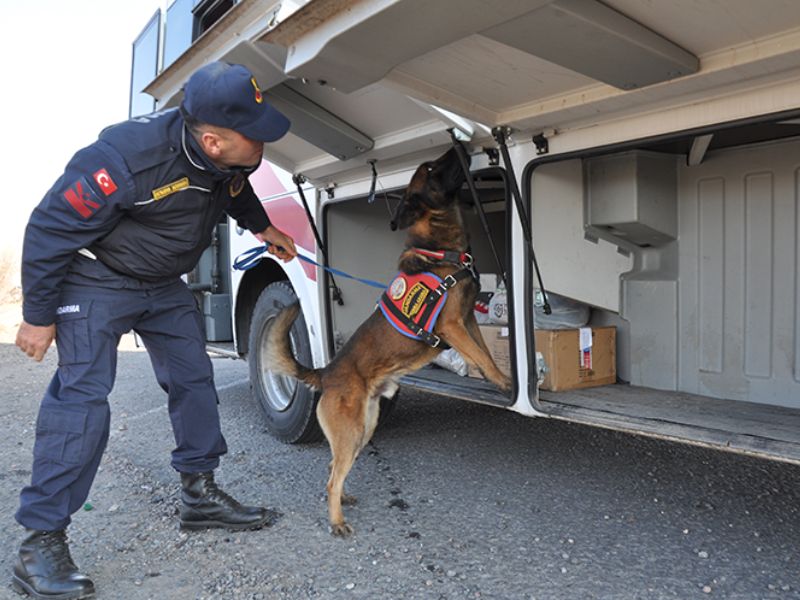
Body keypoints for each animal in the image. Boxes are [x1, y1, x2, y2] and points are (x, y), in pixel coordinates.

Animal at [266, 148, 510, 536]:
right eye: (431, 168)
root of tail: (325, 373)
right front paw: (505, 382)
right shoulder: (453, 326)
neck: (440, 251)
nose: (457, 148)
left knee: (333, 470)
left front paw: (496, 377)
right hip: (351, 431)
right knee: (332, 478)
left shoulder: (468, 319)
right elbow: (481, 356)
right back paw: (337, 521)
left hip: (363, 430)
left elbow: (483, 351)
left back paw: (345, 499)